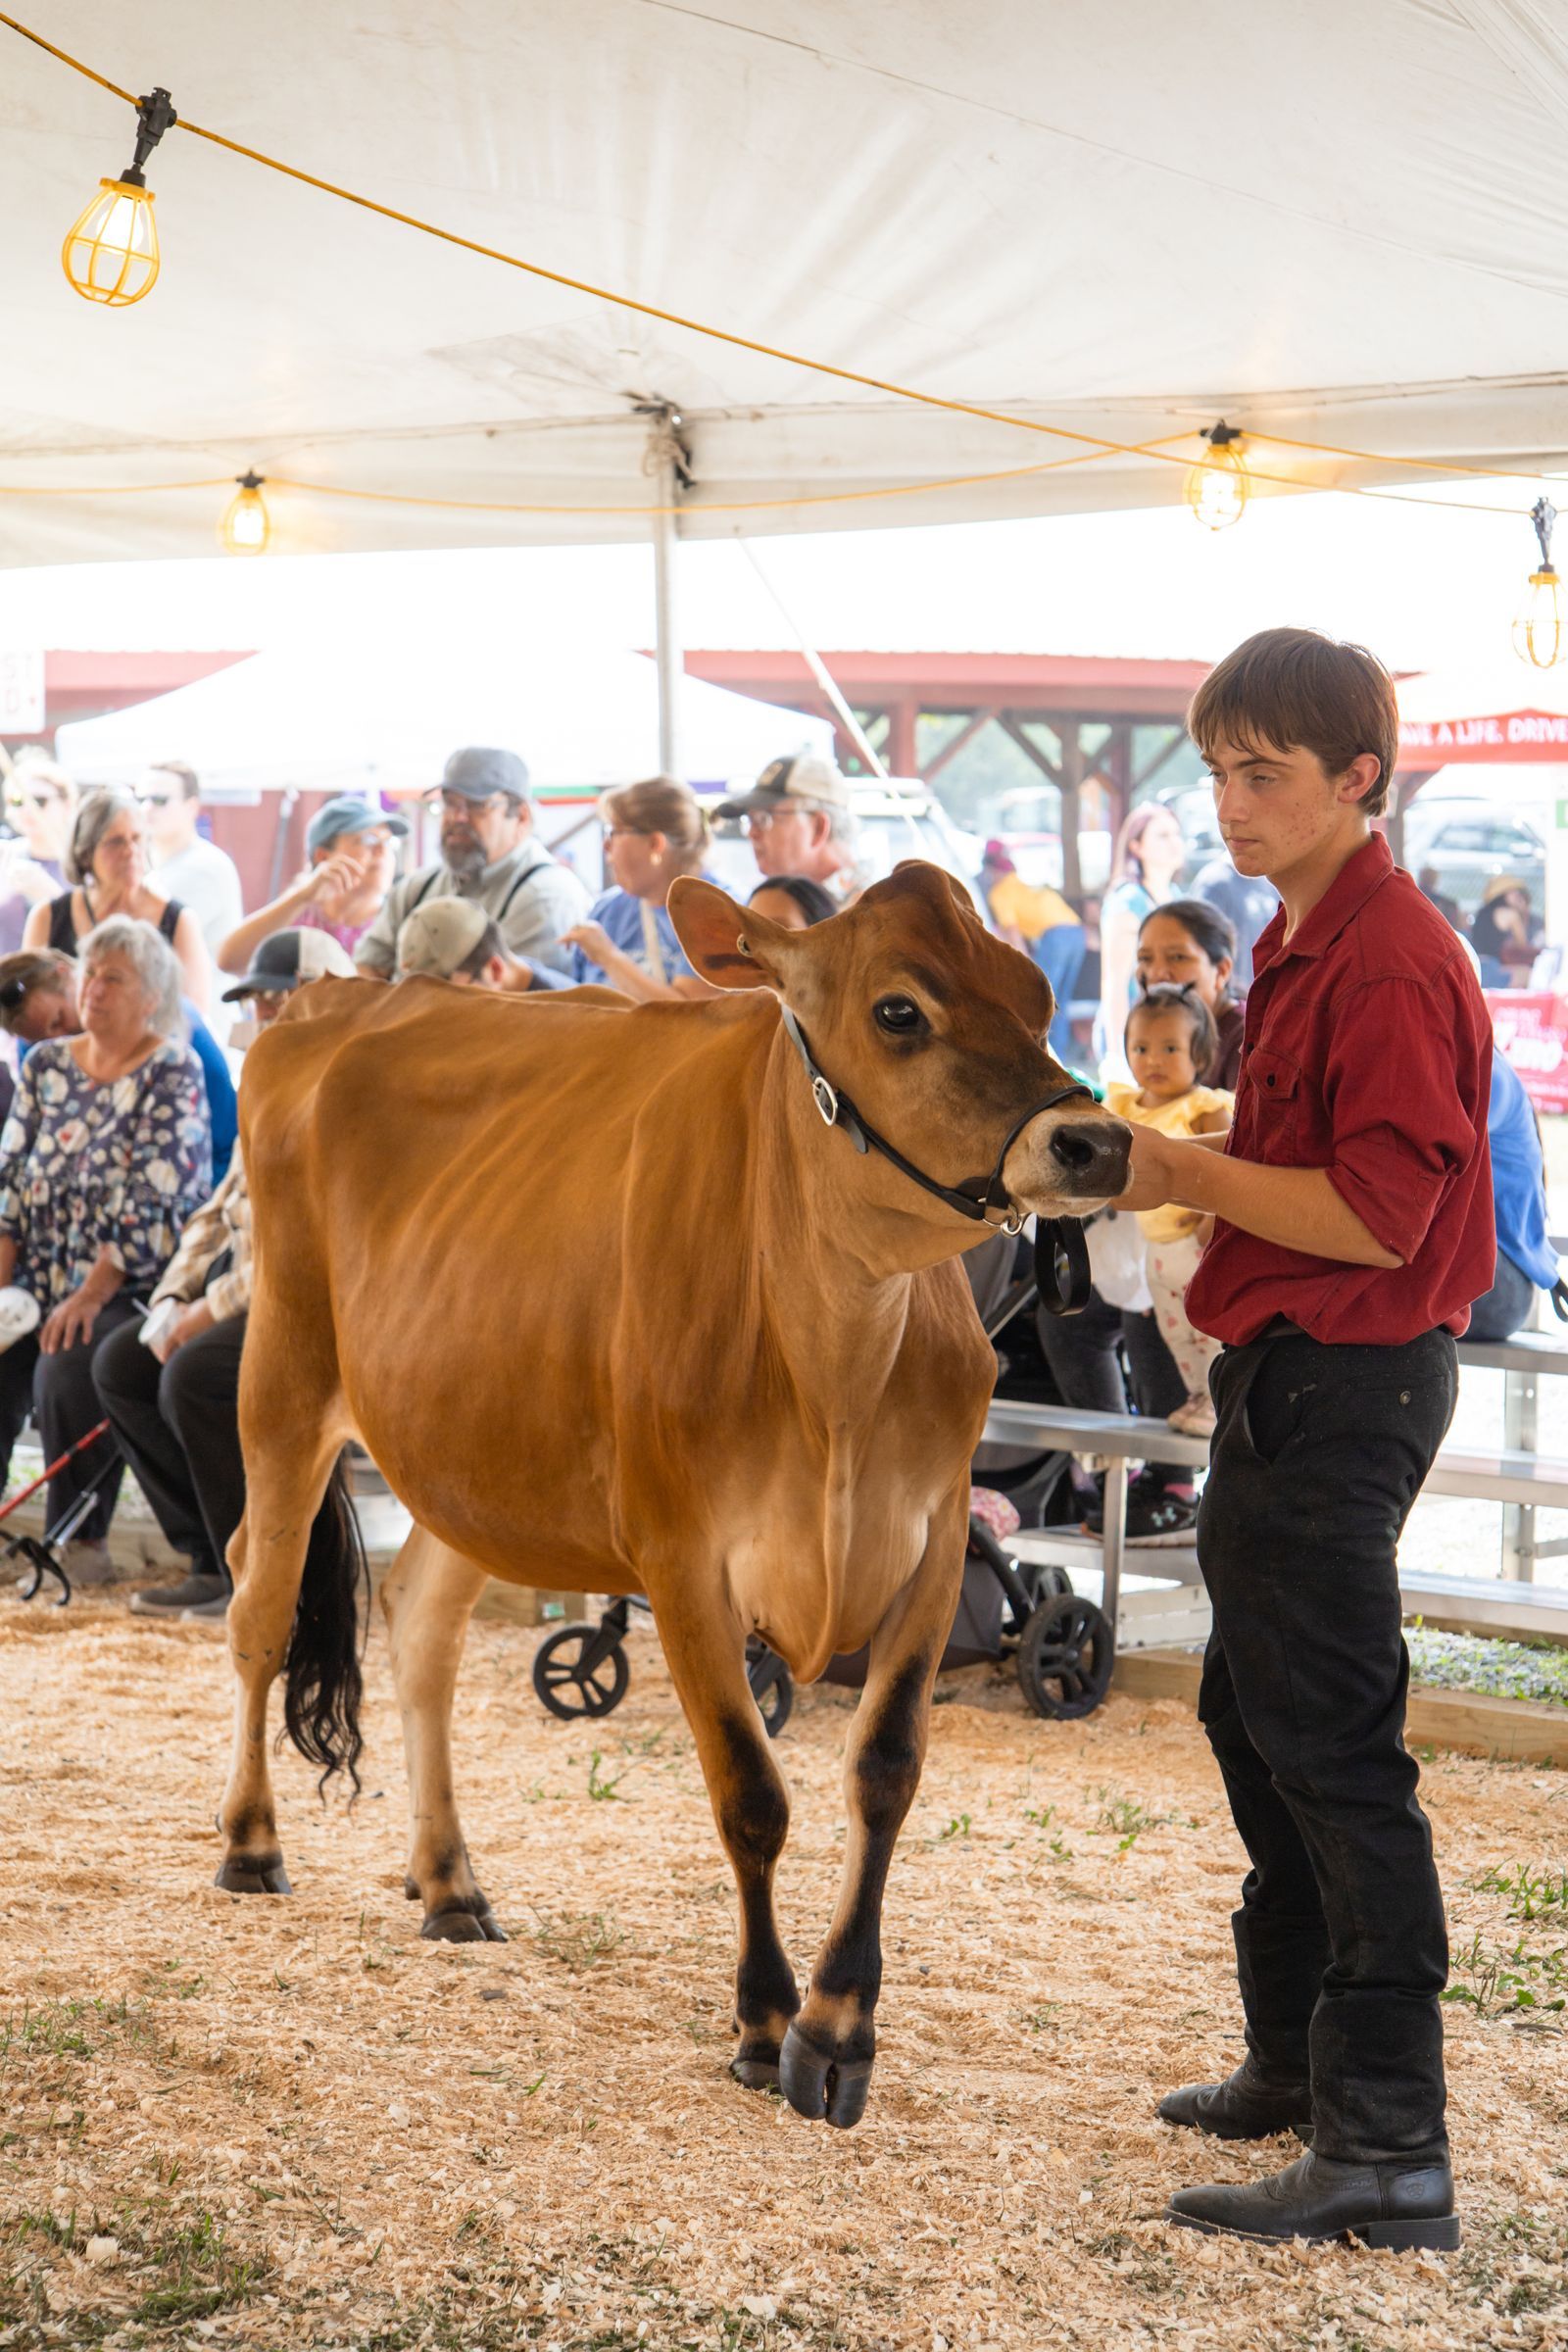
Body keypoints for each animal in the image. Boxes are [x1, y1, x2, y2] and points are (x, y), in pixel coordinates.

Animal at [216, 862, 1130, 2129]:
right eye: (900, 1010)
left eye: (1039, 993)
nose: (1095, 1138)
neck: (836, 1364)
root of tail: (339, 996)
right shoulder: (680, 1556)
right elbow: (750, 1792)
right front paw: (764, 2023)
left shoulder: (936, 1545)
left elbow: (885, 1774)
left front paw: (840, 2026)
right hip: (285, 1380)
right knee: (257, 1607)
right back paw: (251, 1845)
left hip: (466, 1454)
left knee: (420, 1629)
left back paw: (448, 1882)